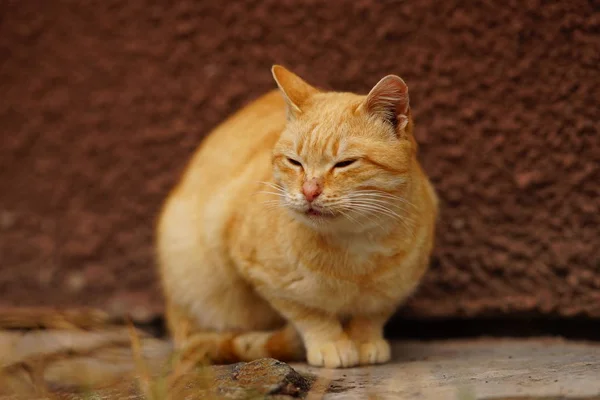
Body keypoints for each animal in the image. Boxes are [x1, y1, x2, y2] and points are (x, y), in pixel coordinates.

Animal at [155, 65, 438, 368]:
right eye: (294, 162)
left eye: (345, 163)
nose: (309, 191)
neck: (356, 244)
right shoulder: (264, 276)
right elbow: (311, 314)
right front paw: (331, 343)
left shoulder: (395, 288)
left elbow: (371, 314)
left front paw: (365, 340)